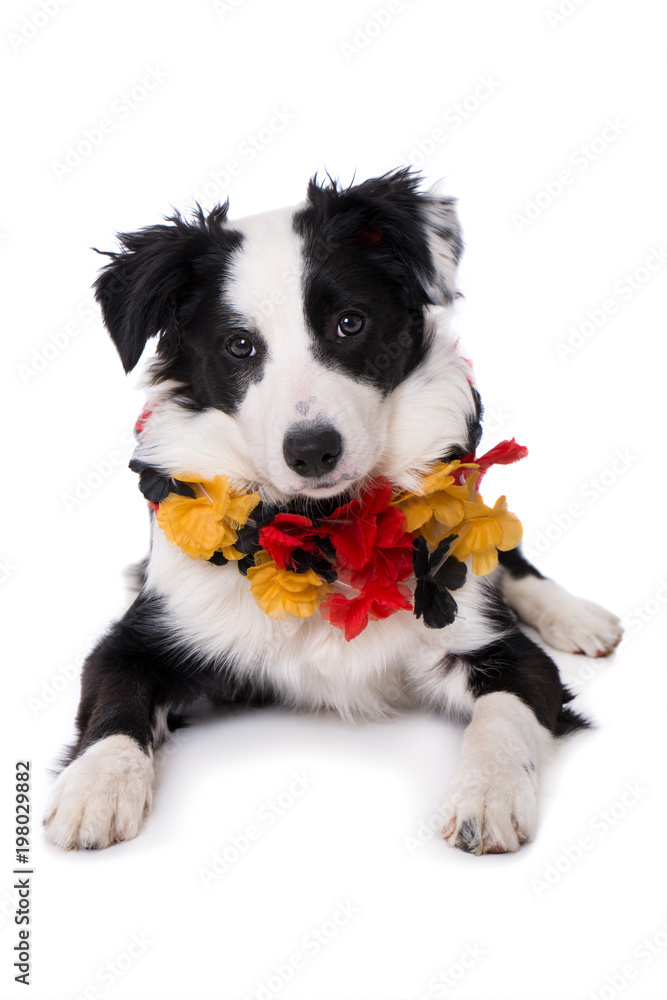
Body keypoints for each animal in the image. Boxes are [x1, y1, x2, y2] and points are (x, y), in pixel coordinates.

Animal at [44, 170, 624, 852]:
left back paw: (577, 616)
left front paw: (489, 795)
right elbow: (115, 704)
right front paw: (95, 787)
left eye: (350, 322)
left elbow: (503, 716)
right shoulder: (140, 637)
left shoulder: (500, 650)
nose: (313, 450)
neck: (324, 528)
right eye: (239, 346)